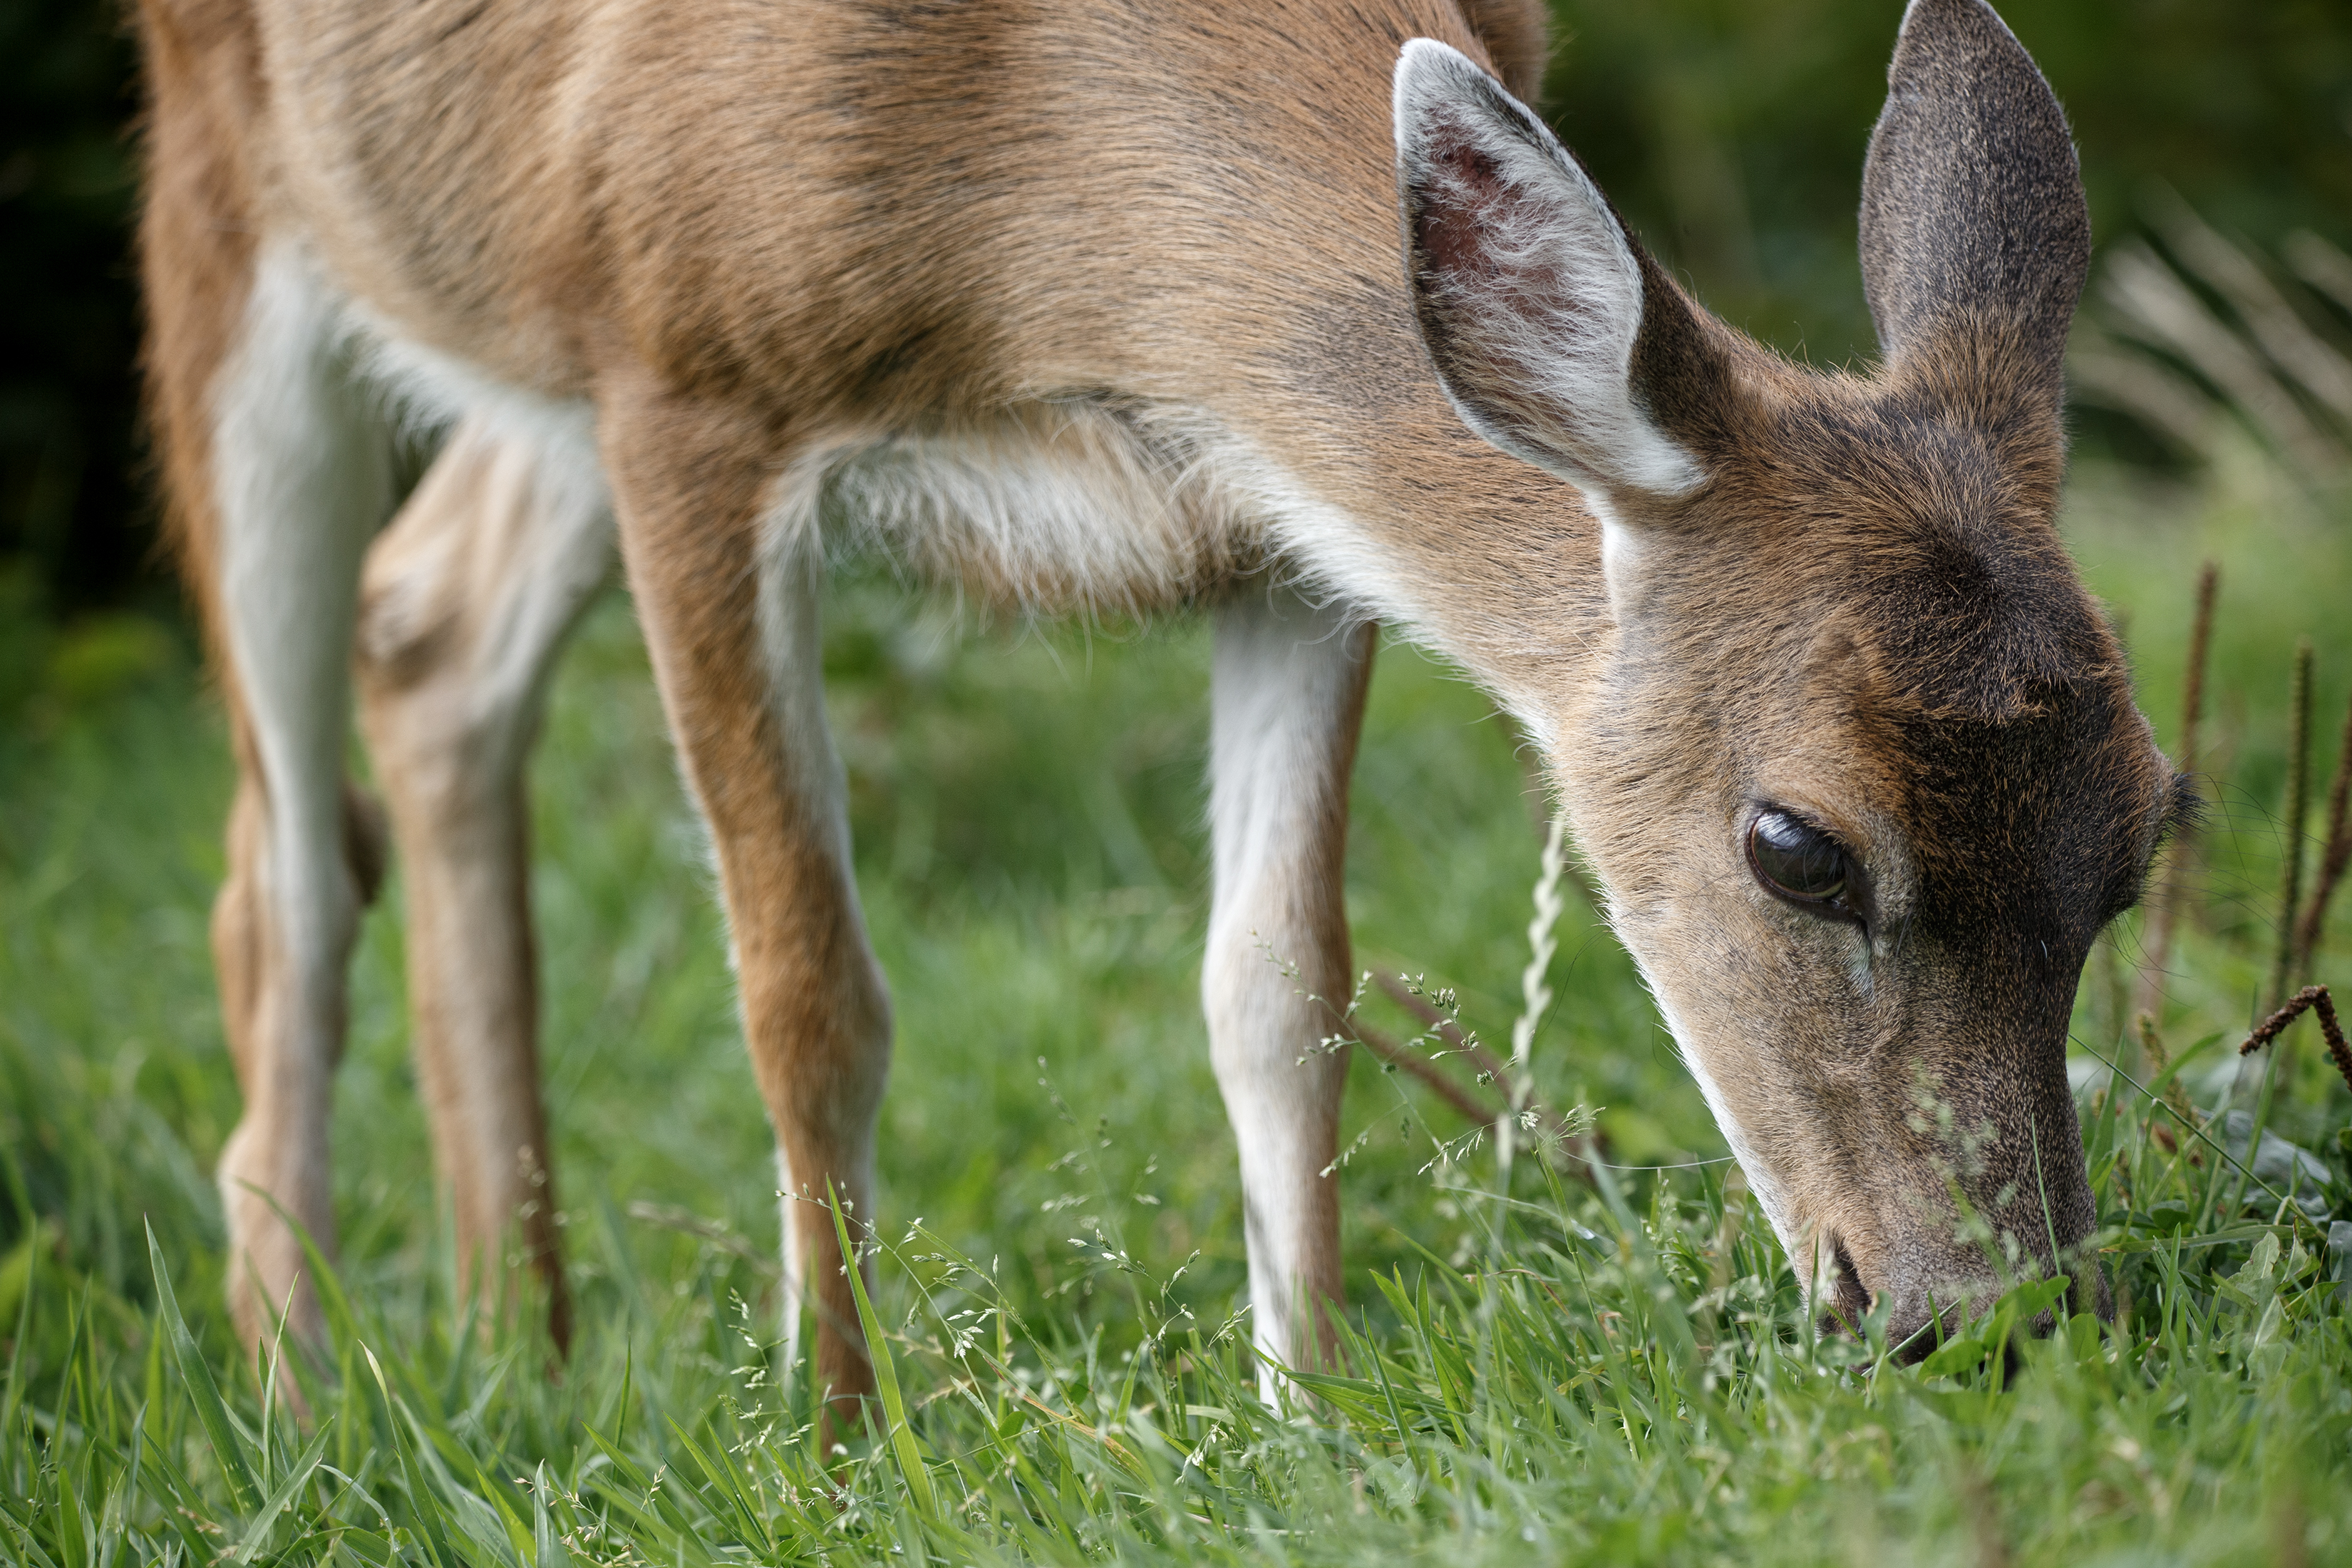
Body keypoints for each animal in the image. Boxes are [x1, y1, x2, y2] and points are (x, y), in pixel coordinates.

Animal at [135, 0, 2181, 1421]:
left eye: (2142, 841)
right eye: (1795, 843)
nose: (1996, 1318)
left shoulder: (1272, 519)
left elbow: (1279, 986)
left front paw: (1307, 1409)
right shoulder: (682, 377)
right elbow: (808, 991)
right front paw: (844, 1439)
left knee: (429, 629)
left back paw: (519, 1335)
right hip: (239, 203)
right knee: (274, 861)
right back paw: (298, 1391)